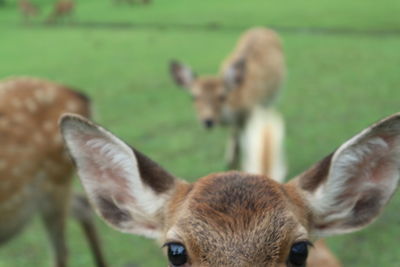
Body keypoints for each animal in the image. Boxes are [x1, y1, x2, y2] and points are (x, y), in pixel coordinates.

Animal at [170, 26, 286, 170]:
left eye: (222, 96)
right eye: (193, 97)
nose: (208, 121)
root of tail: (262, 27)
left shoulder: (250, 114)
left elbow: (247, 143)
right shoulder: (237, 123)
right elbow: (235, 139)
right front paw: (230, 162)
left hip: (273, 96)